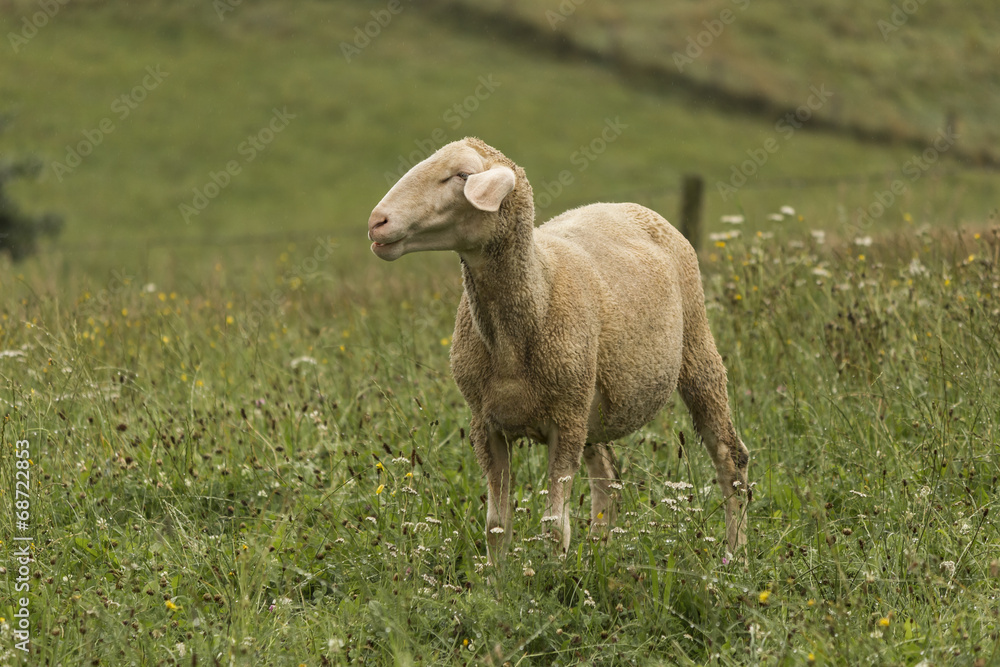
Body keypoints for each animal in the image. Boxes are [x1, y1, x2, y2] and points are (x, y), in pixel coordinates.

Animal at [368, 137, 750, 560]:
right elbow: (496, 526)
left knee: (730, 457)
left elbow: (553, 527)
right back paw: (599, 554)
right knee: (607, 479)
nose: (376, 221)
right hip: (590, 405)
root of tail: (624, 205)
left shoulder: (564, 422)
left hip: (694, 347)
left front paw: (551, 573)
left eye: (463, 175)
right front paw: (497, 579)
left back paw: (736, 555)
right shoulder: (486, 422)